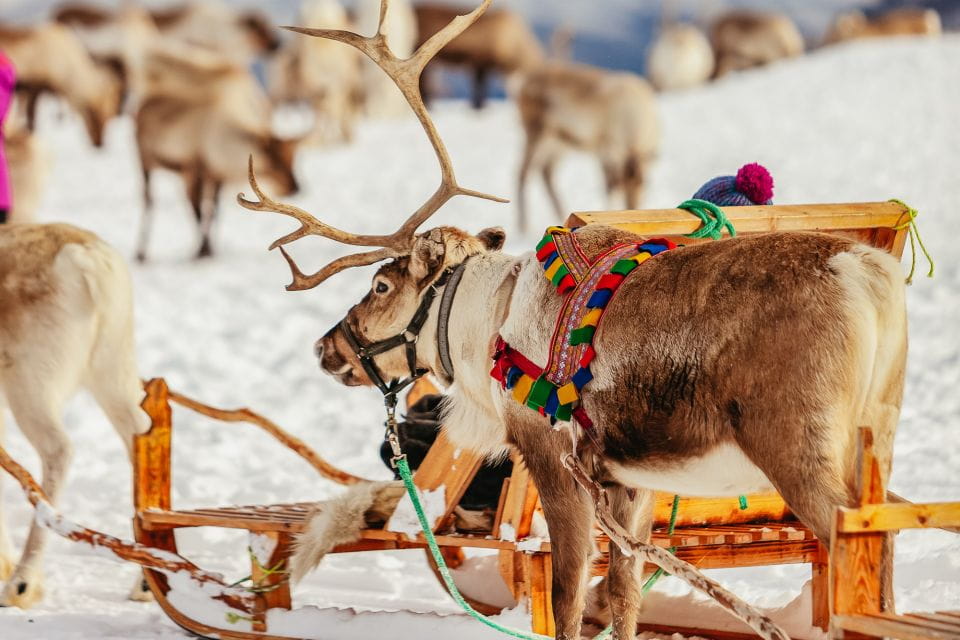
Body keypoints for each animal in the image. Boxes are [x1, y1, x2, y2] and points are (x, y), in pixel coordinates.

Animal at [0, 223, 151, 608]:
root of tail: (86, 258)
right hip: (114, 371)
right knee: (144, 439)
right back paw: (146, 582)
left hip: (30, 384)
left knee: (59, 451)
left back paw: (22, 583)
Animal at [135, 49, 300, 260]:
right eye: (273, 162)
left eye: (292, 159)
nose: (296, 187)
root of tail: (142, 104)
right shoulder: (193, 169)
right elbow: (197, 212)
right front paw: (202, 250)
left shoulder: (216, 175)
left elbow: (213, 211)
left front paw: (211, 248)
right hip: (144, 159)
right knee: (148, 200)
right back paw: (141, 252)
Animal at [238, 2, 907, 638]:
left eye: (379, 286)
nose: (325, 349)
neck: (488, 326)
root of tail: (868, 276)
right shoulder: (631, 482)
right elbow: (626, 594)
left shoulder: (552, 458)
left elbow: (565, 596)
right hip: (874, 437)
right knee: (883, 555)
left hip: (799, 445)